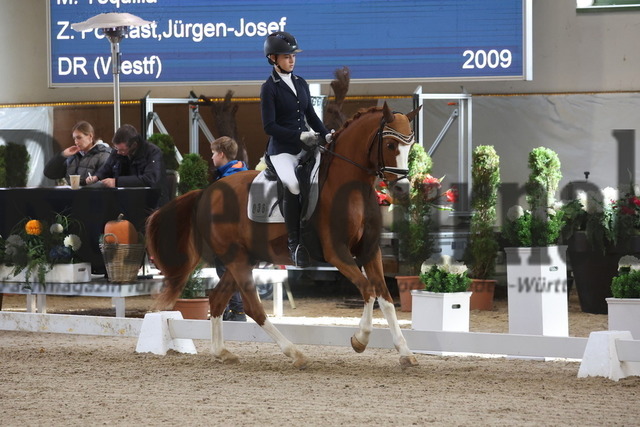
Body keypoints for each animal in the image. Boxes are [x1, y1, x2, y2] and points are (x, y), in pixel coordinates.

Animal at [148, 103, 422, 368]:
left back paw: (222, 352)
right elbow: (368, 290)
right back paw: (295, 353)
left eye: (410, 145)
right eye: (390, 144)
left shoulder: (369, 250)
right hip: (237, 259)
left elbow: (385, 297)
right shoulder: (337, 252)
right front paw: (360, 340)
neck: (351, 186)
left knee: (217, 299)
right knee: (253, 307)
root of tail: (206, 192)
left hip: (244, 258)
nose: (402, 188)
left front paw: (405, 353)